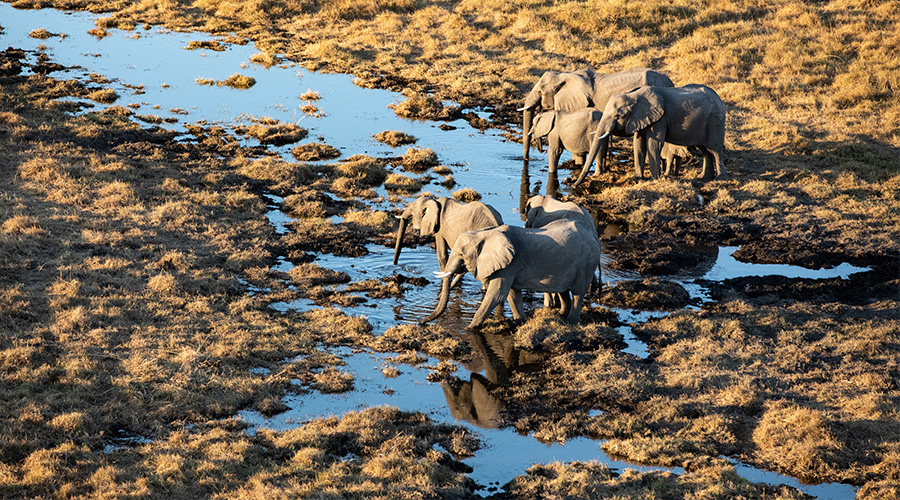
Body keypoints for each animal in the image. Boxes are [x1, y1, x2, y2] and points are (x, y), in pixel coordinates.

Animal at [431, 220, 602, 330]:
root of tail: (594, 236)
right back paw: (560, 316)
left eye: (461, 255)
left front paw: (468, 329)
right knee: (563, 290)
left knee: (578, 293)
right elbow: (512, 294)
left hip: (586, 263)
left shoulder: (510, 263)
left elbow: (497, 294)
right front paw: (520, 322)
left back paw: (571, 322)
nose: (424, 322)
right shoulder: (509, 265)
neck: (486, 233)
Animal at [580, 84, 726, 182]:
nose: (576, 184)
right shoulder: (639, 118)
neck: (633, 96)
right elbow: (638, 144)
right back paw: (703, 178)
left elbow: (653, 144)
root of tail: (719, 99)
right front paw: (638, 178)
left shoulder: (660, 119)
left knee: (715, 150)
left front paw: (655, 179)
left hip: (715, 121)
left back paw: (719, 179)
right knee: (705, 150)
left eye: (618, 116)